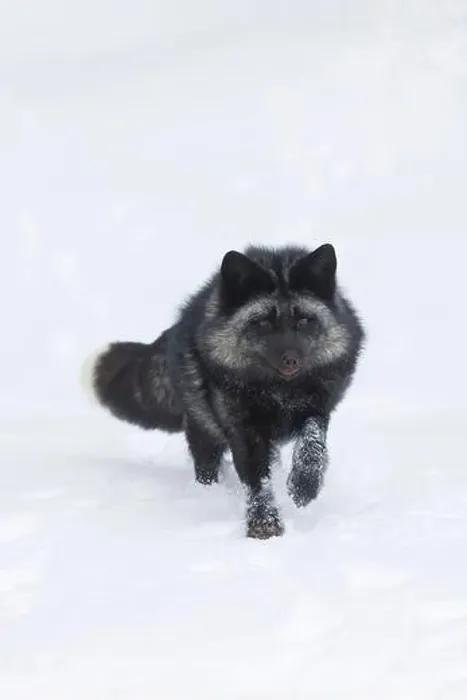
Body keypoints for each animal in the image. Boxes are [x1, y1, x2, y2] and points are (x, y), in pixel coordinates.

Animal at [83, 243, 365, 539]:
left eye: (304, 320)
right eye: (263, 323)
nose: (291, 360)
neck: (279, 392)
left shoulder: (318, 409)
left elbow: (313, 445)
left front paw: (304, 486)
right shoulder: (243, 430)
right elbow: (257, 479)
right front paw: (264, 522)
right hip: (203, 428)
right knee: (206, 466)